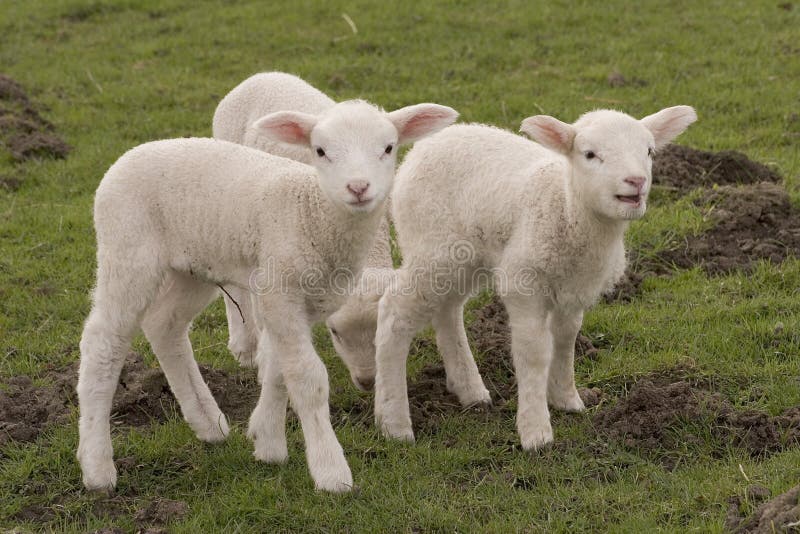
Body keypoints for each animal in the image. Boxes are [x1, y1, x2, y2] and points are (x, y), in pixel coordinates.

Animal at [372, 106, 697, 449]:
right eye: (590, 154)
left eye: (649, 151)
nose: (636, 181)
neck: (567, 208)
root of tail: (426, 146)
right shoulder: (523, 283)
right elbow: (534, 352)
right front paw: (536, 431)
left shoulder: (575, 289)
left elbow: (566, 340)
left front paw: (567, 399)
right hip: (432, 245)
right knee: (394, 313)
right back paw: (394, 423)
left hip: (463, 257)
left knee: (448, 310)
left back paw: (470, 391)